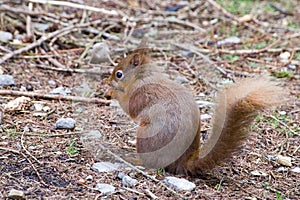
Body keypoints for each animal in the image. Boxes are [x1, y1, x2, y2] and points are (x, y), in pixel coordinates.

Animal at [108, 47, 284, 175]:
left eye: (119, 74)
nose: (109, 81)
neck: (142, 76)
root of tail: (182, 162)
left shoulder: (141, 93)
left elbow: (129, 108)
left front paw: (112, 92)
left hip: (147, 136)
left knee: (152, 163)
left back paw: (136, 160)